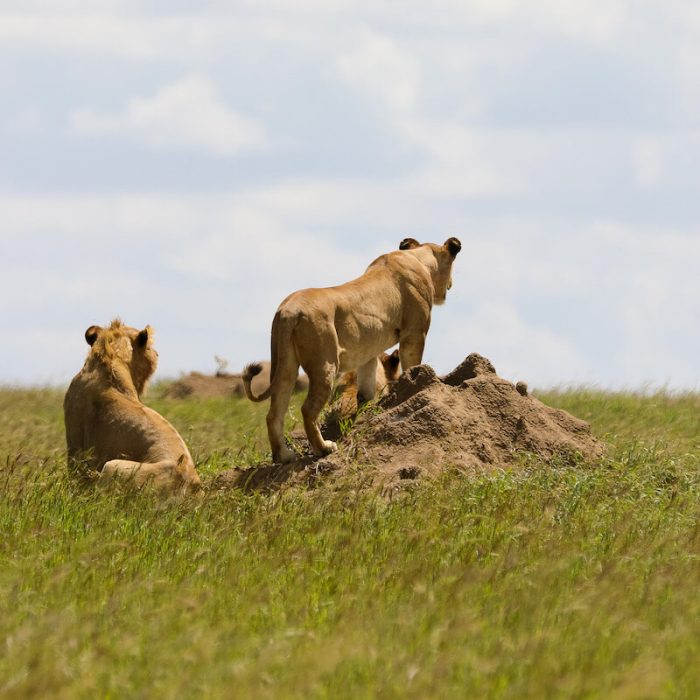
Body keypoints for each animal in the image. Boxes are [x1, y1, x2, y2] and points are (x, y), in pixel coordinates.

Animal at [243, 238, 462, 462]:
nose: (451, 284)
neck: (419, 257)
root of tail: (288, 310)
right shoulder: (414, 334)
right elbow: (412, 365)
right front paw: (416, 382)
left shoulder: (369, 352)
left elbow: (367, 386)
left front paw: (367, 408)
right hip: (325, 363)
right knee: (308, 409)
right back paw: (324, 448)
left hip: (285, 366)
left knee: (274, 413)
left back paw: (284, 456)